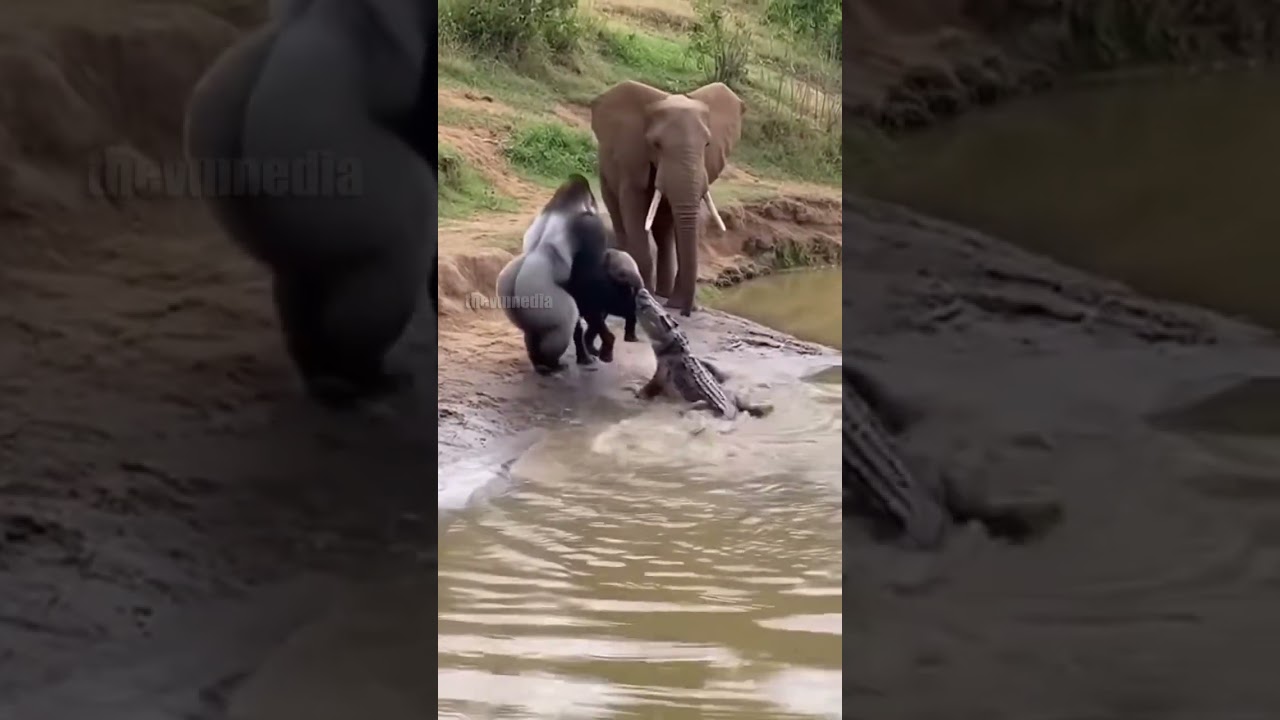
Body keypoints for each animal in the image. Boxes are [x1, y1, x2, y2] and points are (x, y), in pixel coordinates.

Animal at [590, 80, 744, 316]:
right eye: (656, 145)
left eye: (707, 145)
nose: (686, 311)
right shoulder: (632, 161)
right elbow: (634, 214)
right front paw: (647, 299)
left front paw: (673, 303)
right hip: (605, 172)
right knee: (619, 217)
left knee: (664, 229)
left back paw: (663, 293)